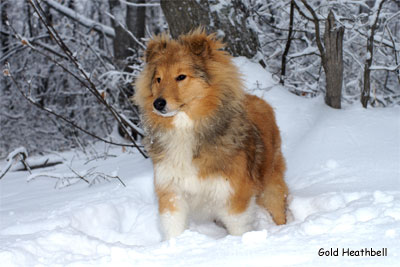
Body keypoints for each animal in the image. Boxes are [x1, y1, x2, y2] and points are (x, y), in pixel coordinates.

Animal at [134, 29, 288, 241]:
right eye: (158, 79)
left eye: (181, 77)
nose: (158, 103)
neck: (186, 130)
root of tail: (260, 100)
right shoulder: (172, 192)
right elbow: (173, 229)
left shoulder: (233, 196)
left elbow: (238, 228)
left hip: (271, 184)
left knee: (279, 207)